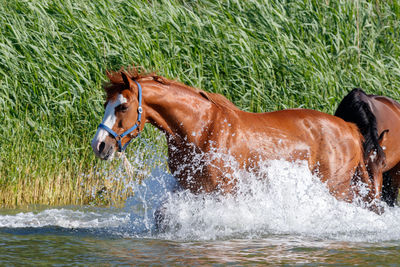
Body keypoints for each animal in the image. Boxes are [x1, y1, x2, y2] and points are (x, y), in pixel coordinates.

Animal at [91, 68, 388, 214]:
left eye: (122, 106)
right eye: (106, 104)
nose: (99, 145)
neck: (200, 130)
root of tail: (350, 128)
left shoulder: (224, 189)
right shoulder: (188, 187)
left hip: (336, 187)